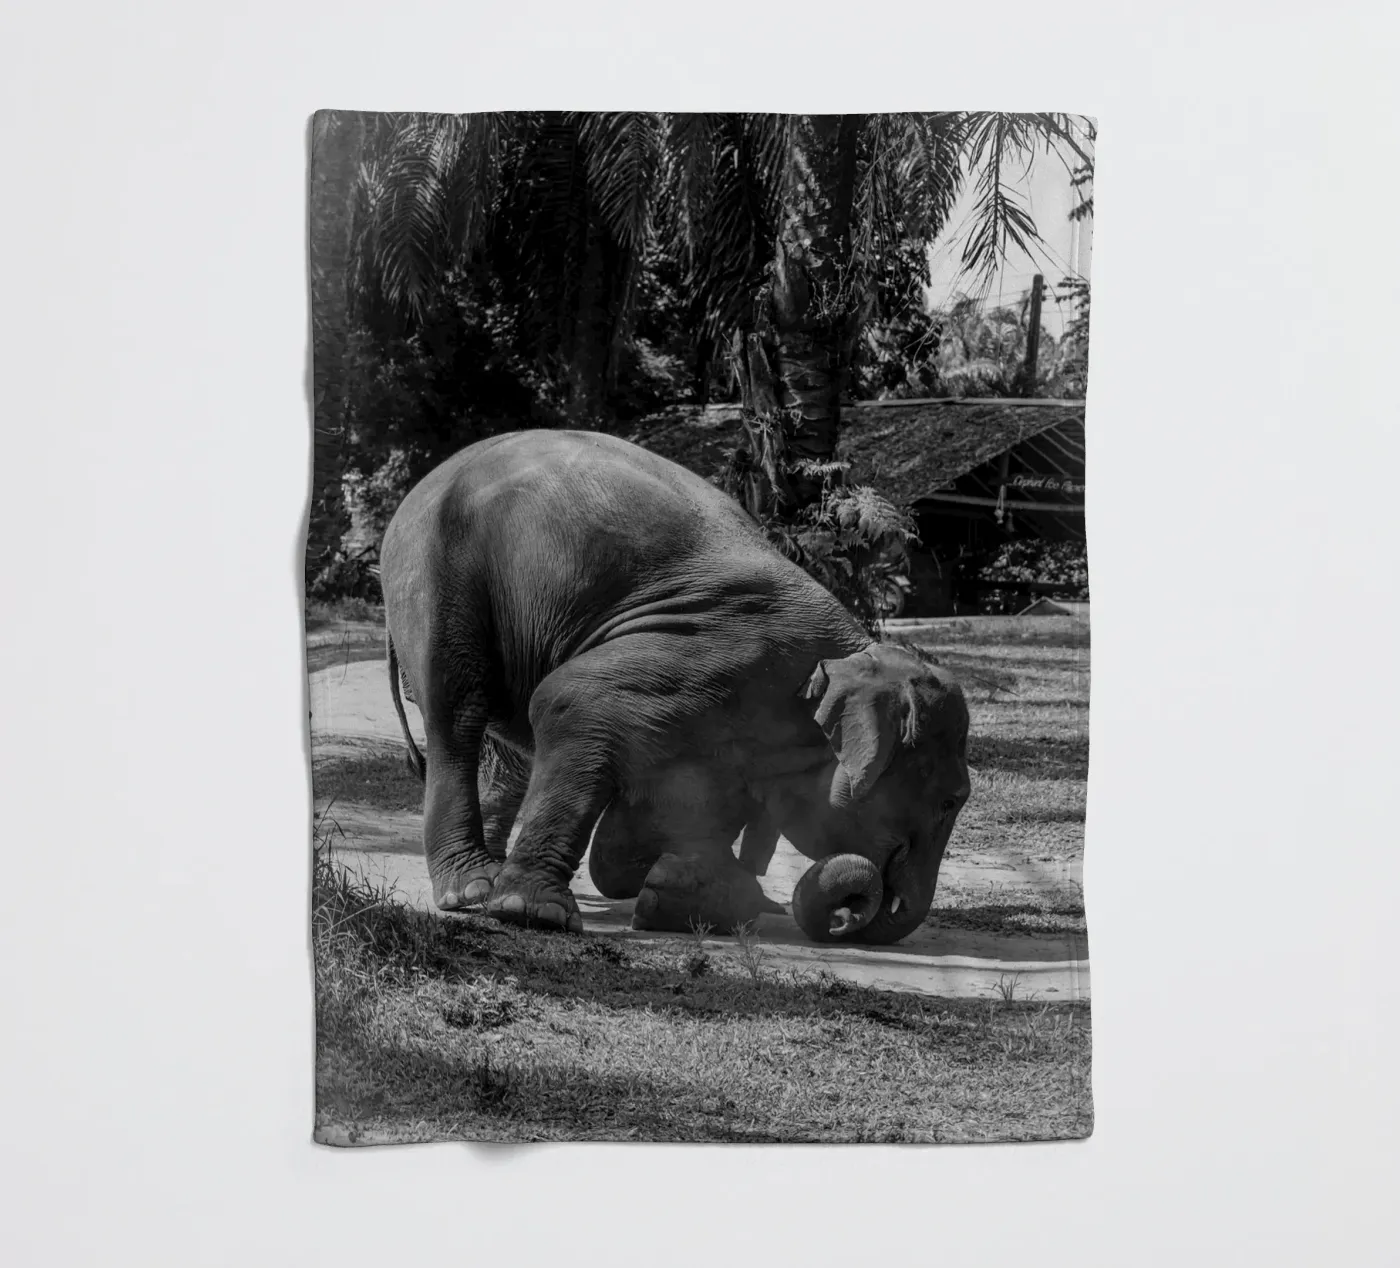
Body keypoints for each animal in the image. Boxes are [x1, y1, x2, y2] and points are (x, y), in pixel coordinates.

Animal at [379, 429, 971, 945]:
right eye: (949, 802)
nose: (850, 918)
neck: (850, 653)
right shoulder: (717, 655)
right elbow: (567, 699)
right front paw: (534, 912)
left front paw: (671, 889)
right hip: (436, 577)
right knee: (457, 711)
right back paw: (470, 890)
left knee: (507, 758)